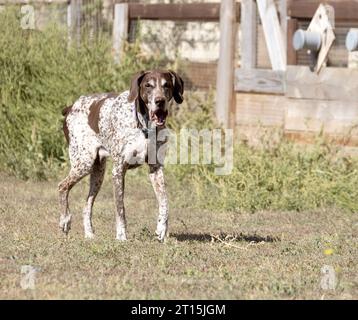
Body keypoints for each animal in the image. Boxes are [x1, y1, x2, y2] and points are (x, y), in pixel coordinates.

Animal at [59, 69, 185, 240]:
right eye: (148, 85)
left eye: (167, 85)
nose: (160, 101)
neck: (144, 126)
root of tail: (71, 107)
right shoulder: (118, 171)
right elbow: (120, 208)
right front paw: (121, 236)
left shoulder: (156, 169)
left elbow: (165, 202)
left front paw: (161, 229)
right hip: (84, 163)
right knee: (62, 187)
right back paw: (65, 220)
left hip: (98, 173)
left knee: (87, 205)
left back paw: (89, 234)